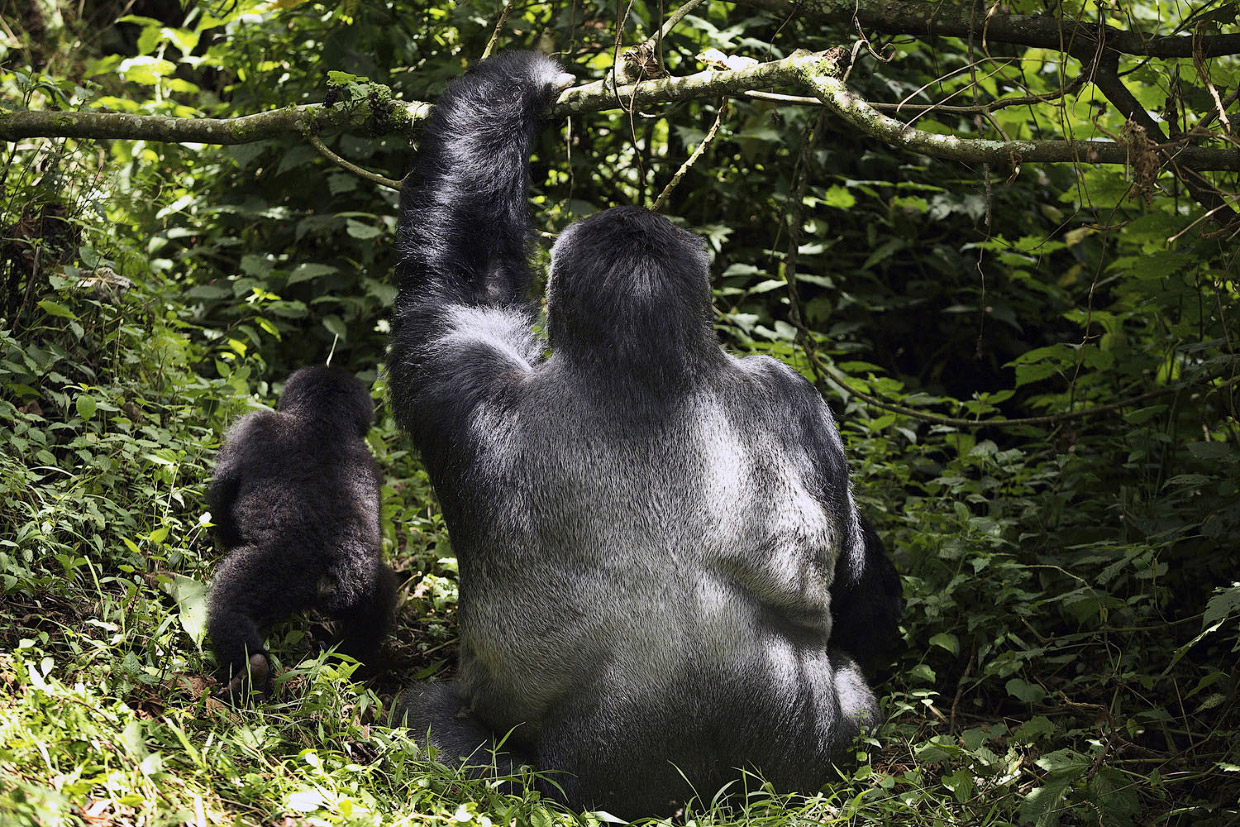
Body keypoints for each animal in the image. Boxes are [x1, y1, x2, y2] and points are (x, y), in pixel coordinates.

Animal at [205, 364, 394, 694]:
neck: (324, 420)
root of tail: (329, 576)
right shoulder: (373, 468)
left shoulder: (255, 426)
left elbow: (222, 494)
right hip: (364, 586)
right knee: (376, 612)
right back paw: (343, 665)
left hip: (274, 570)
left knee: (229, 605)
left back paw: (250, 669)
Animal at [386, 53, 902, 823]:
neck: (645, 371)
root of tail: (701, 798)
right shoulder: (797, 395)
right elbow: (860, 592)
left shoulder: (457, 368)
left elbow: (456, 281)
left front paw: (522, 81)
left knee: (425, 718)